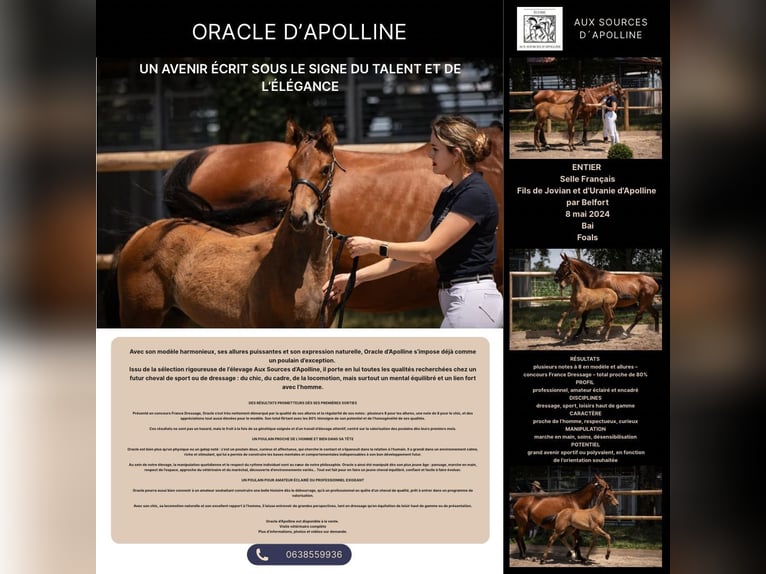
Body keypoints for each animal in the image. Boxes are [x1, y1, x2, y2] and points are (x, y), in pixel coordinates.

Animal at [115, 116, 345, 328]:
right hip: (140, 316)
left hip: (175, 318)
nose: (299, 217)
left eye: (325, 168)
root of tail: (141, 234)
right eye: (290, 168)